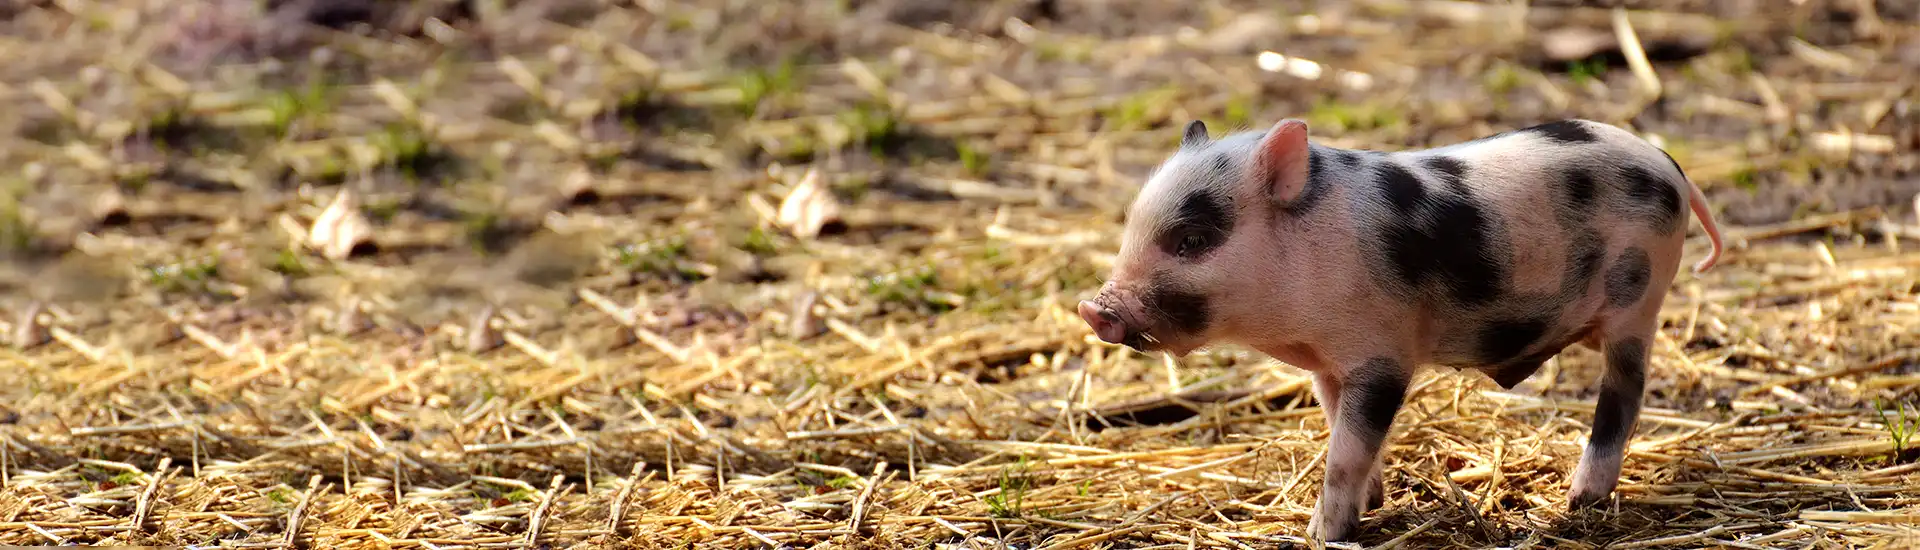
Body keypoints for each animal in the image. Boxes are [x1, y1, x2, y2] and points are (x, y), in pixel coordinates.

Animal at [1076, 117, 1724, 542]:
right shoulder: (1328, 363)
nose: (1093, 307)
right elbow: (1340, 428)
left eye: (1192, 240)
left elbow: (1347, 448)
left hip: (1638, 299)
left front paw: (1323, 532)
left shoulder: (1381, 356)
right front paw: (1375, 500)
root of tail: (1668, 164)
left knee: (1625, 393)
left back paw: (1578, 501)